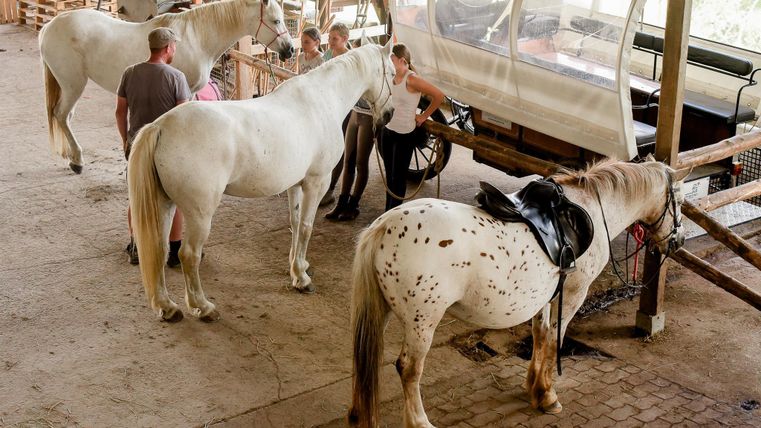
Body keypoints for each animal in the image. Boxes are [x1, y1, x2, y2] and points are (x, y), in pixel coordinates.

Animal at [39, 0, 294, 174]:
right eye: (275, 20)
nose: (290, 50)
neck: (197, 38)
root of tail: (49, 27)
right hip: (73, 84)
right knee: (61, 115)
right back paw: (77, 161)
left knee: (65, 117)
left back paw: (70, 155)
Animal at [127, 41, 395, 322]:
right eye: (393, 74)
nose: (388, 115)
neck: (323, 98)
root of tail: (161, 126)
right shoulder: (316, 183)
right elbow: (307, 227)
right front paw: (302, 279)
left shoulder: (295, 185)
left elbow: (295, 224)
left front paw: (296, 267)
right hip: (199, 213)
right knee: (188, 255)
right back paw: (204, 307)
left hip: (165, 204)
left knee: (159, 249)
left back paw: (167, 307)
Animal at [348, 159, 688, 427]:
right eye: (681, 202)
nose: (679, 240)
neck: (592, 208)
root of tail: (382, 227)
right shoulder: (574, 293)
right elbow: (555, 340)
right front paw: (548, 395)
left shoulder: (546, 296)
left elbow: (541, 335)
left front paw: (533, 386)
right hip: (423, 322)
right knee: (408, 369)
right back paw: (419, 421)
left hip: (382, 312)